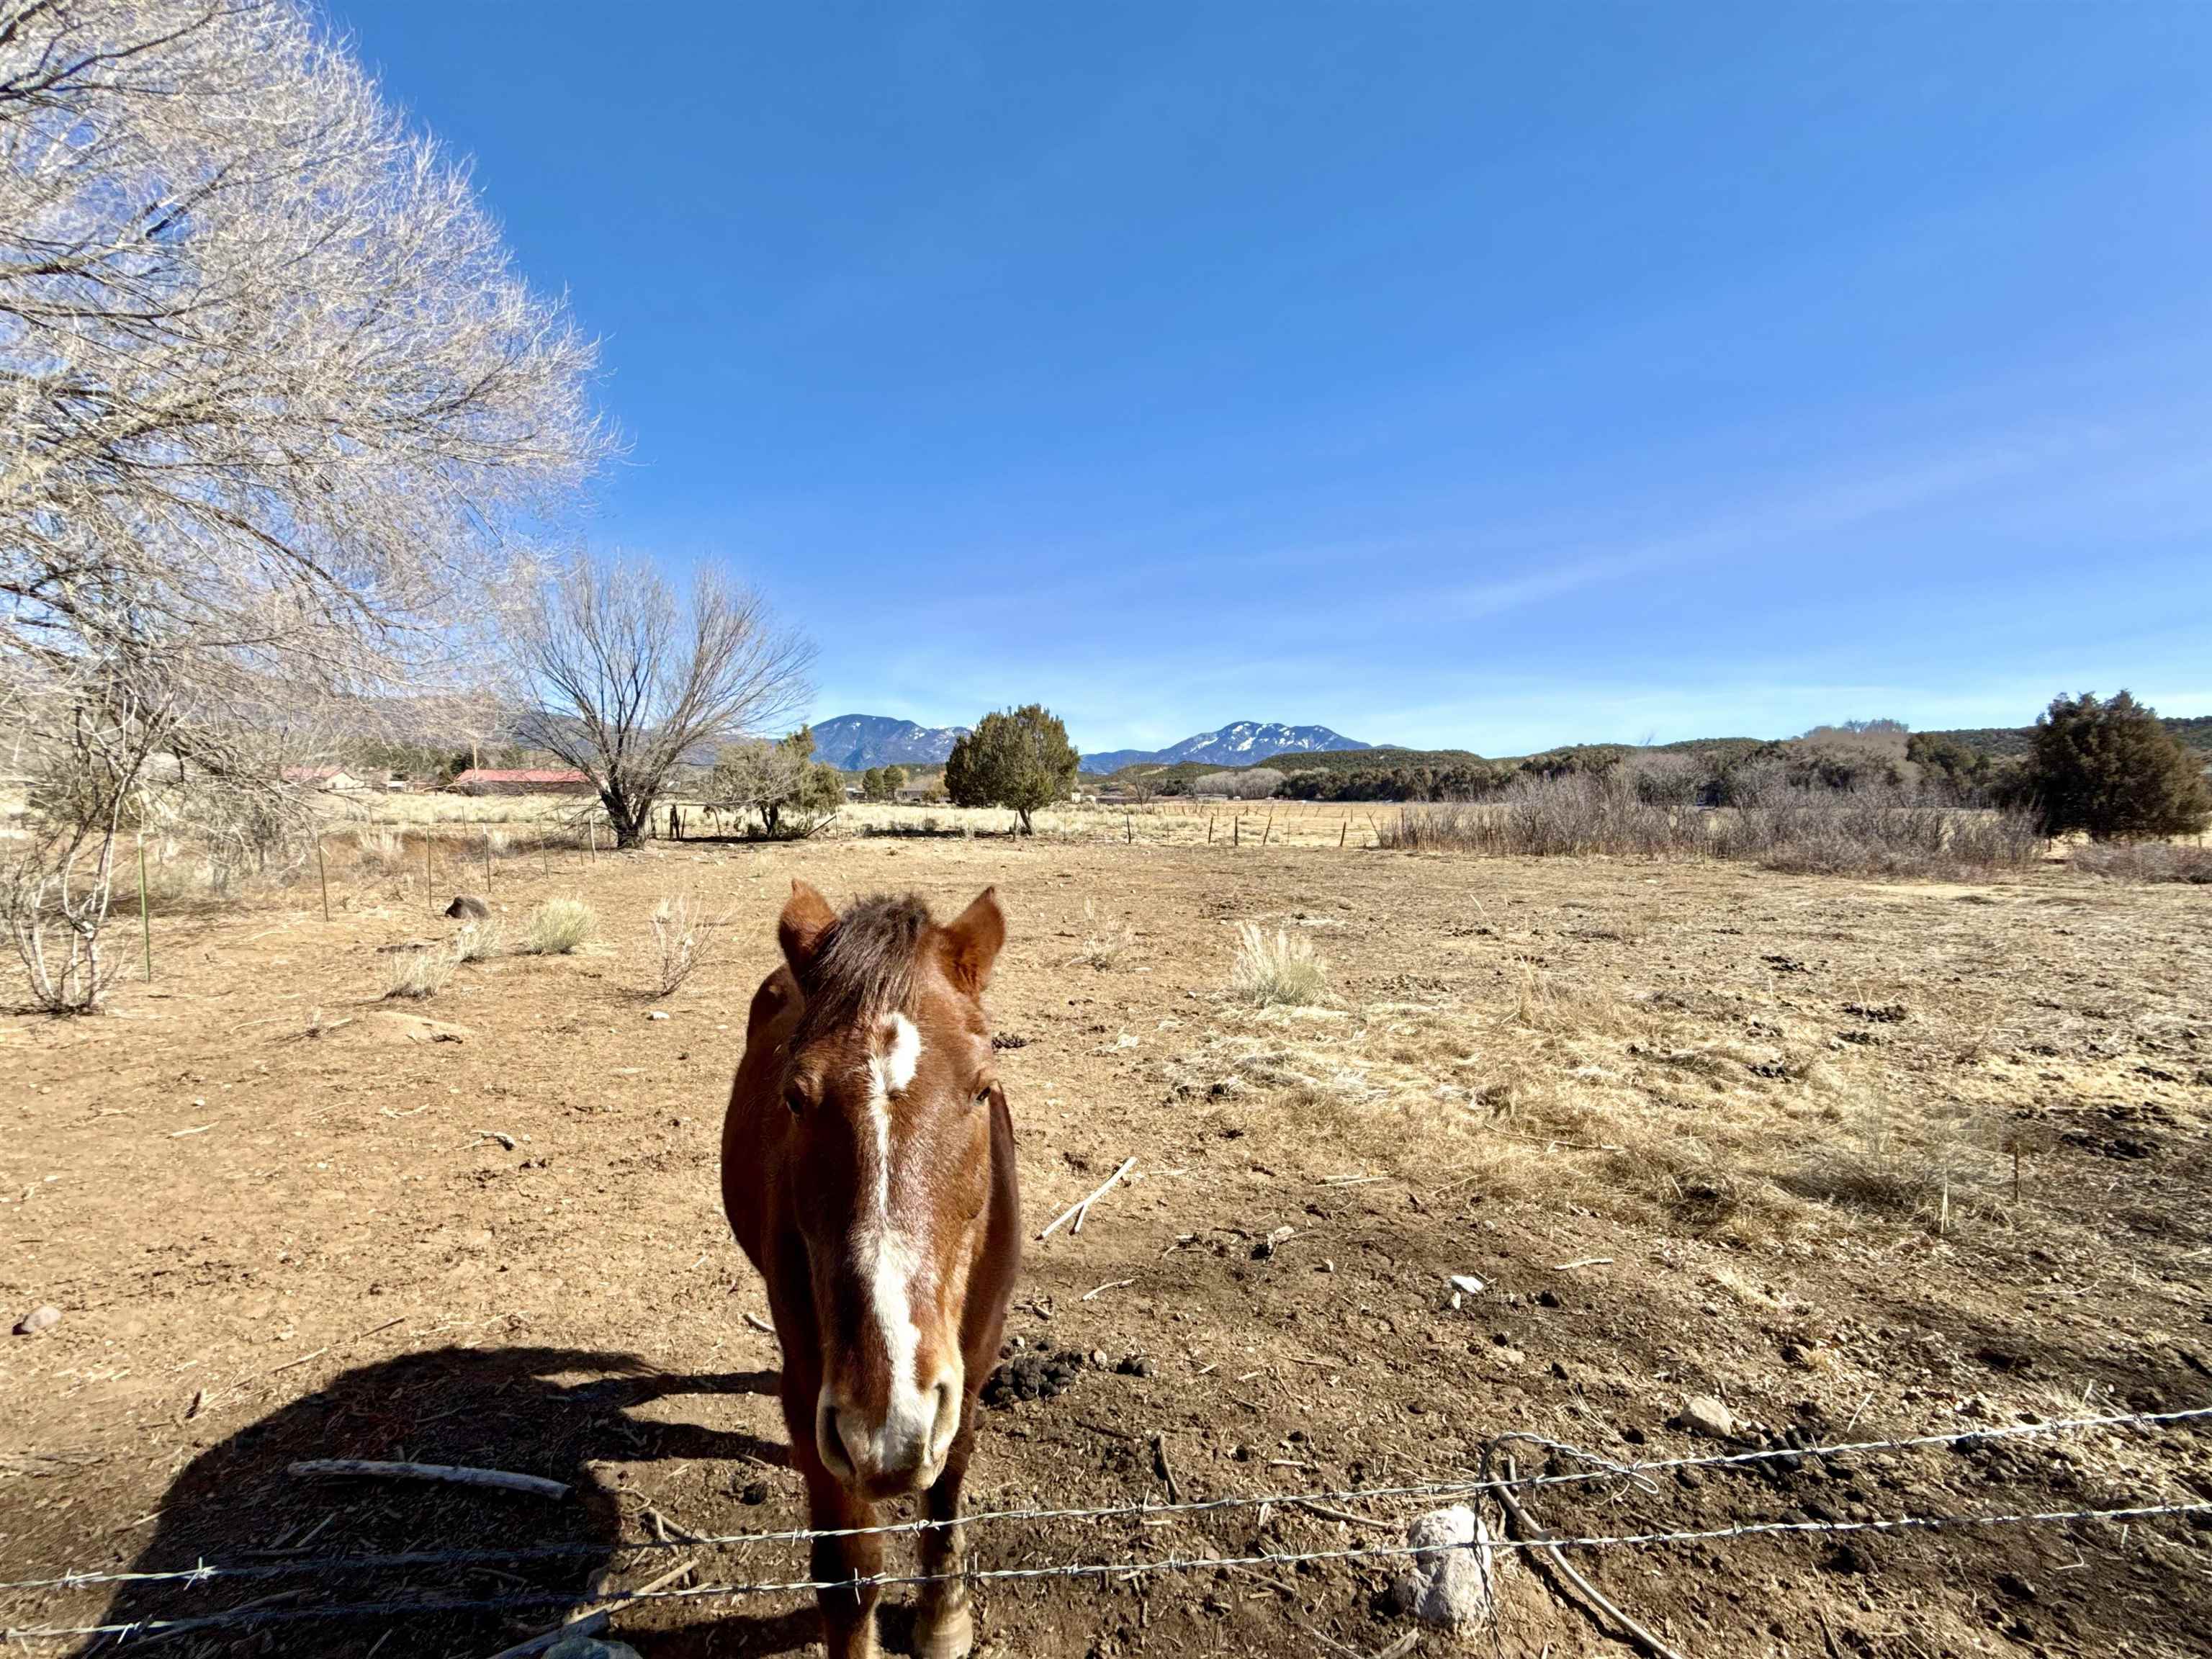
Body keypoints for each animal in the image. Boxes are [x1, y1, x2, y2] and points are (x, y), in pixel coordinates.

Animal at [721, 884, 1022, 1659]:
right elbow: (849, 1569)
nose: (890, 1426)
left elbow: (947, 1486)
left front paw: (944, 1618)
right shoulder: (814, 1394)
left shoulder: (970, 1369)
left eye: (983, 1090)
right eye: (795, 1098)